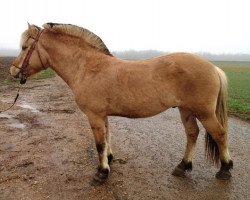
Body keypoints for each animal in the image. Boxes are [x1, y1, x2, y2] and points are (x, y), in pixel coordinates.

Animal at [9, 22, 232, 182]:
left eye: (25, 47)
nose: (12, 71)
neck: (88, 67)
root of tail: (213, 68)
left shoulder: (94, 115)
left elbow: (100, 143)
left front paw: (101, 172)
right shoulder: (102, 115)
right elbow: (107, 137)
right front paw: (109, 161)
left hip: (204, 112)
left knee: (220, 134)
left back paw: (225, 169)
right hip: (186, 110)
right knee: (192, 133)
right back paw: (183, 166)